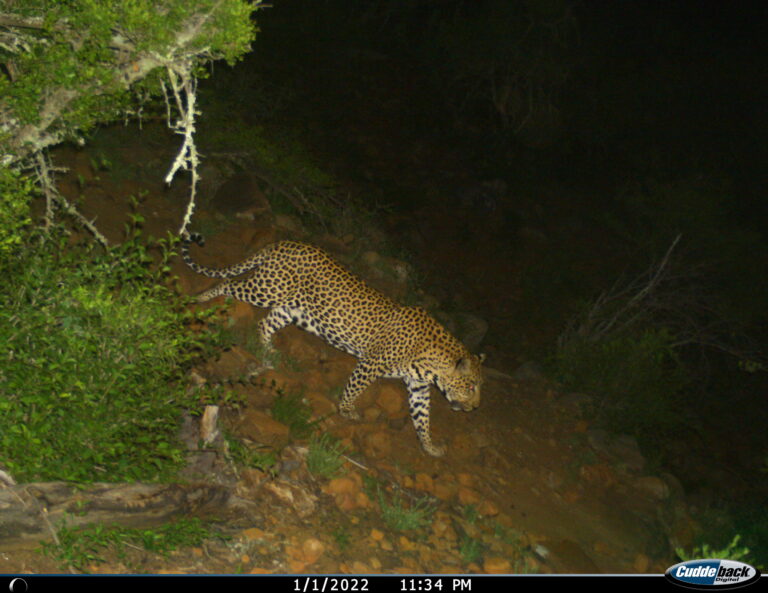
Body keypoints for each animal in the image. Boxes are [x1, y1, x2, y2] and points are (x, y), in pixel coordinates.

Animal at [181, 233, 485, 456]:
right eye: (471, 387)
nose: (475, 408)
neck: (431, 365)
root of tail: (285, 242)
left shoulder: (418, 387)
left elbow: (423, 419)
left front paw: (430, 446)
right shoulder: (371, 364)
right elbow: (355, 387)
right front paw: (346, 410)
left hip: (290, 309)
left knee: (265, 324)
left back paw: (268, 351)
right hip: (267, 288)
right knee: (229, 282)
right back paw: (199, 299)